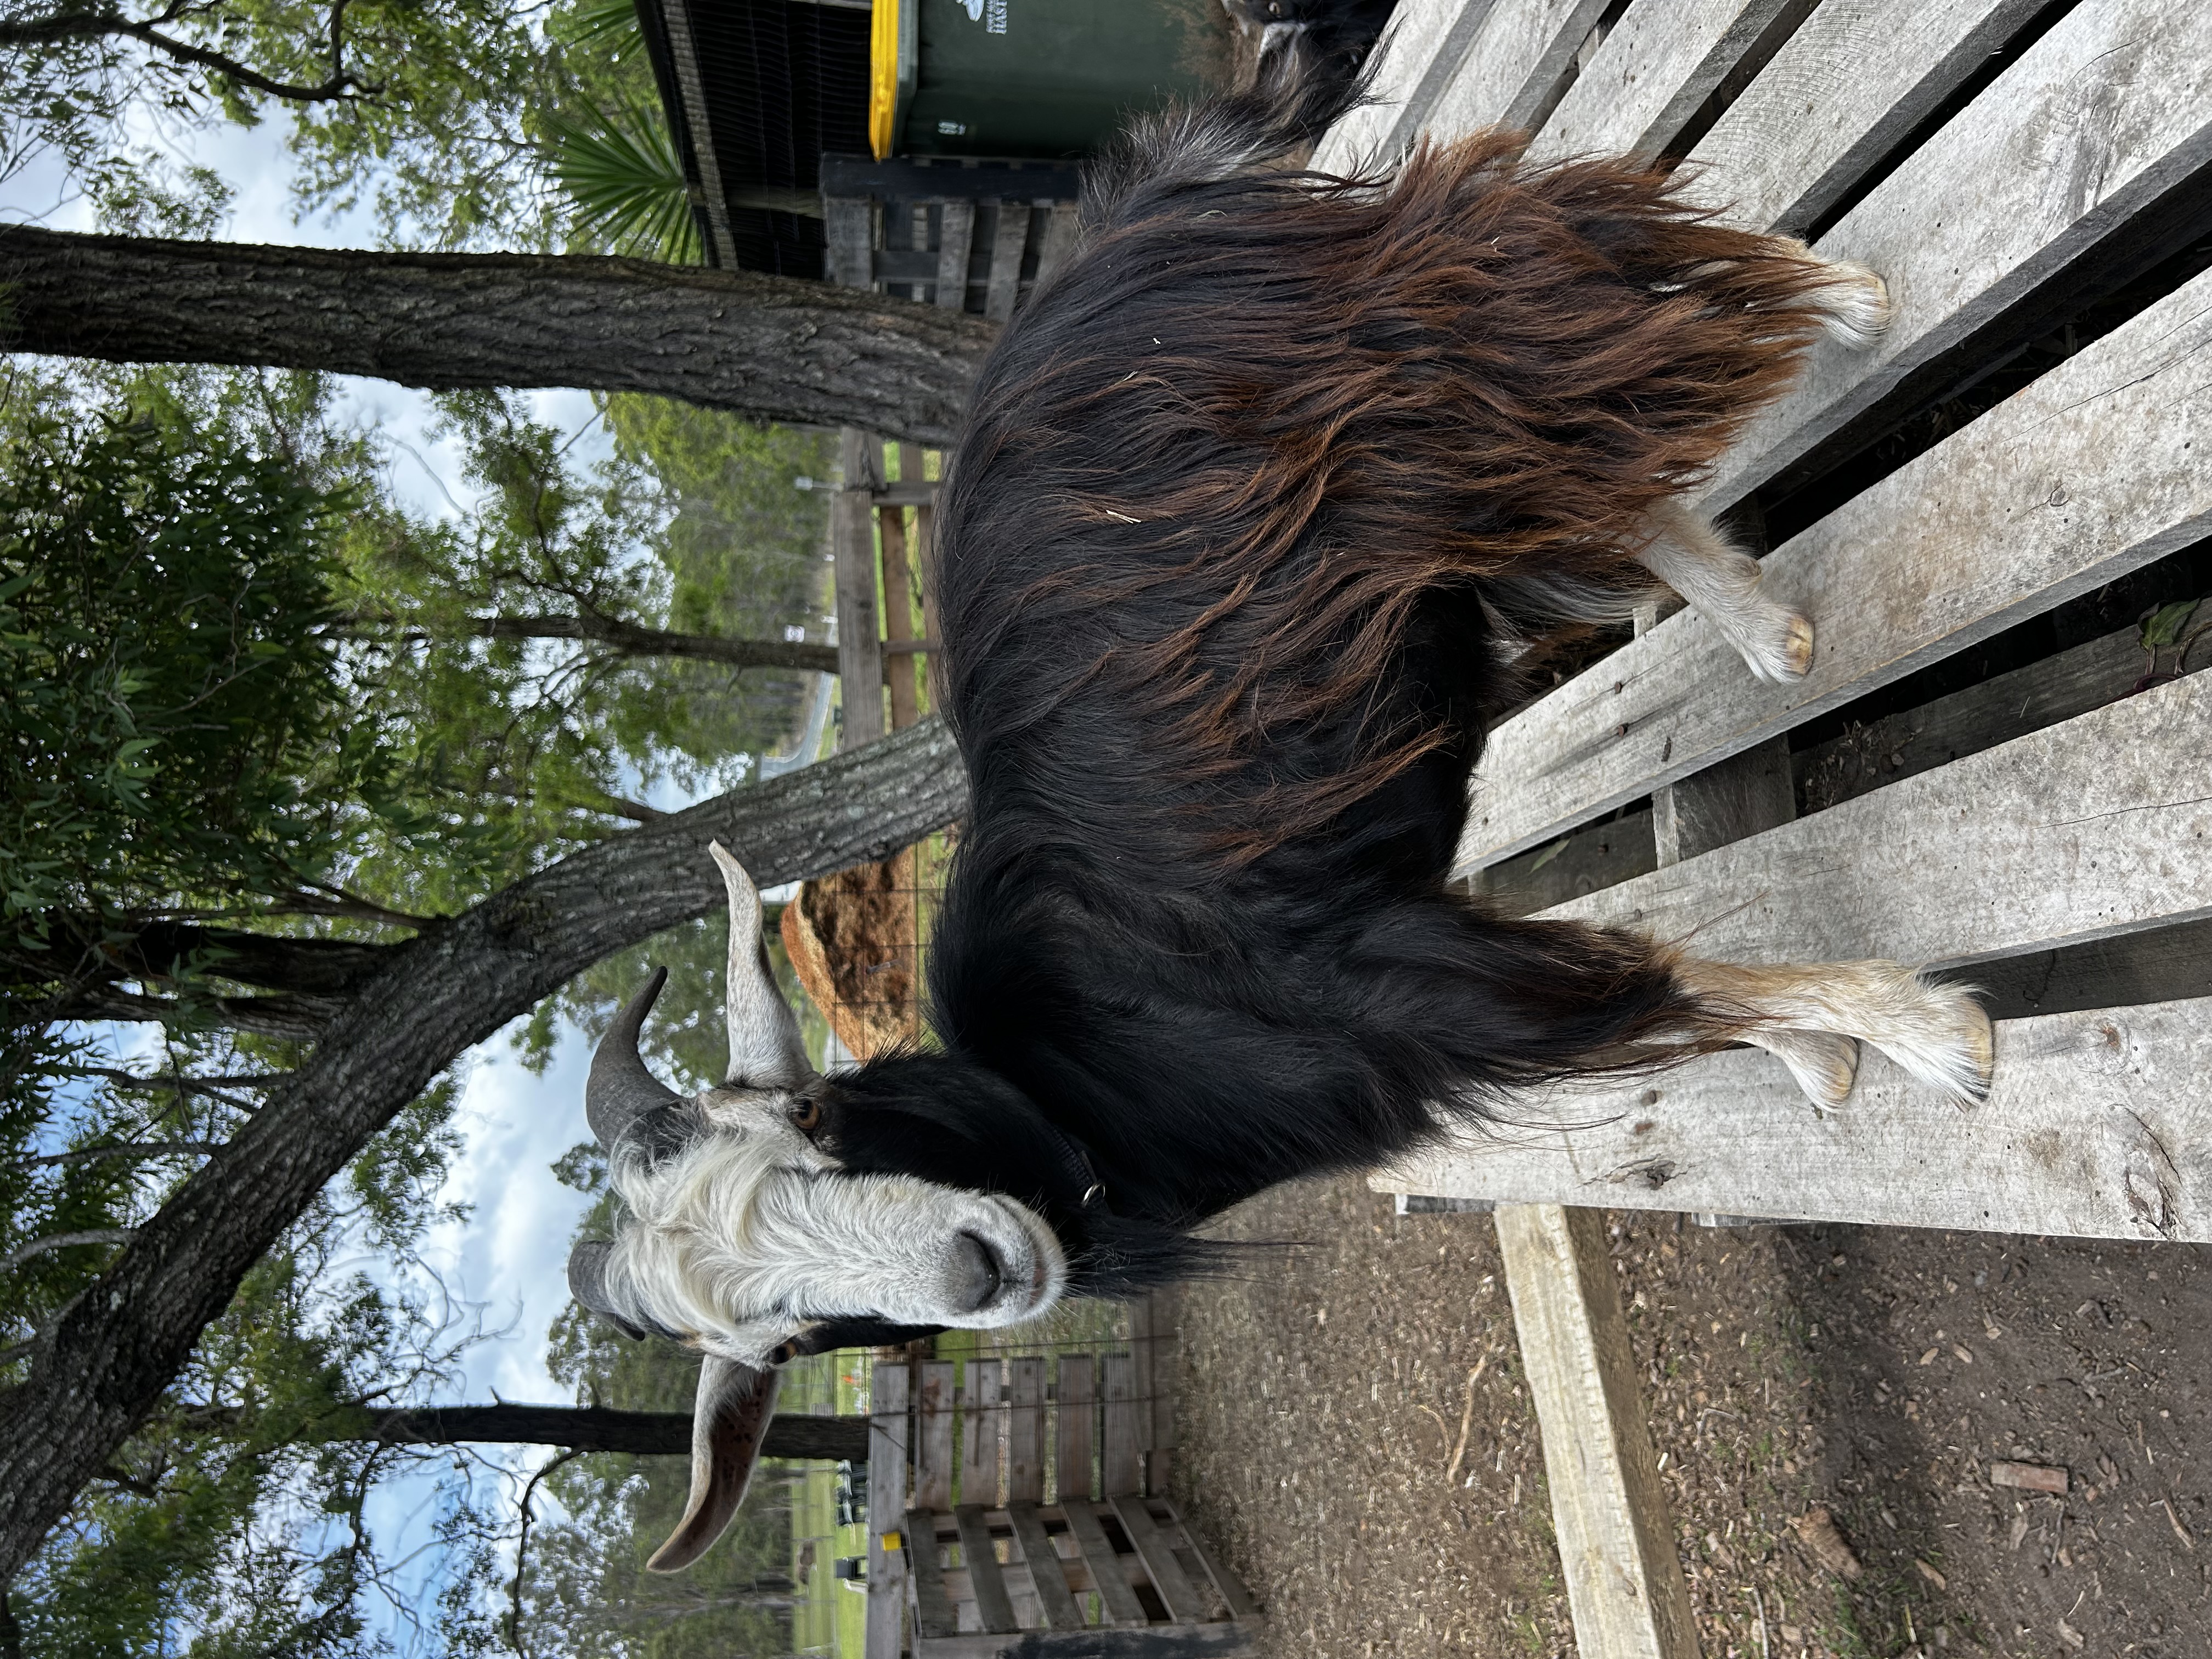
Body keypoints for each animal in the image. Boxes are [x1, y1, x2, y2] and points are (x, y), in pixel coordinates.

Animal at [564, 49, 1993, 1569]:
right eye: (775, 1347)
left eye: (817, 1123)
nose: (974, 1267)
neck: (1086, 1096)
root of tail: (1119, 219)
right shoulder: (1405, 955)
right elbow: (1669, 986)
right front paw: (1828, 1060)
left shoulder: (1393, 978)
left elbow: (1669, 987)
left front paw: (1935, 1042)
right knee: (1582, 487)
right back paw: (1765, 624)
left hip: (1405, 359)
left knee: (1562, 247)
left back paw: (1843, 303)